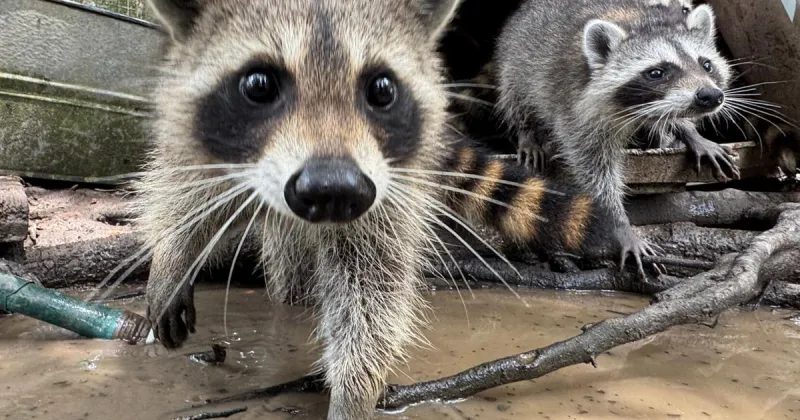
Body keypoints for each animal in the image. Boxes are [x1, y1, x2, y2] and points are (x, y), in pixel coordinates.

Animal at [495, 0, 738, 269]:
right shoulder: (575, 107)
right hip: (517, 60)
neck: (642, 21)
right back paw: (527, 134)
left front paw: (689, 131)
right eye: (656, 73)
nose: (710, 95)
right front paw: (618, 223)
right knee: (517, 96)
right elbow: (595, 171)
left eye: (706, 64)